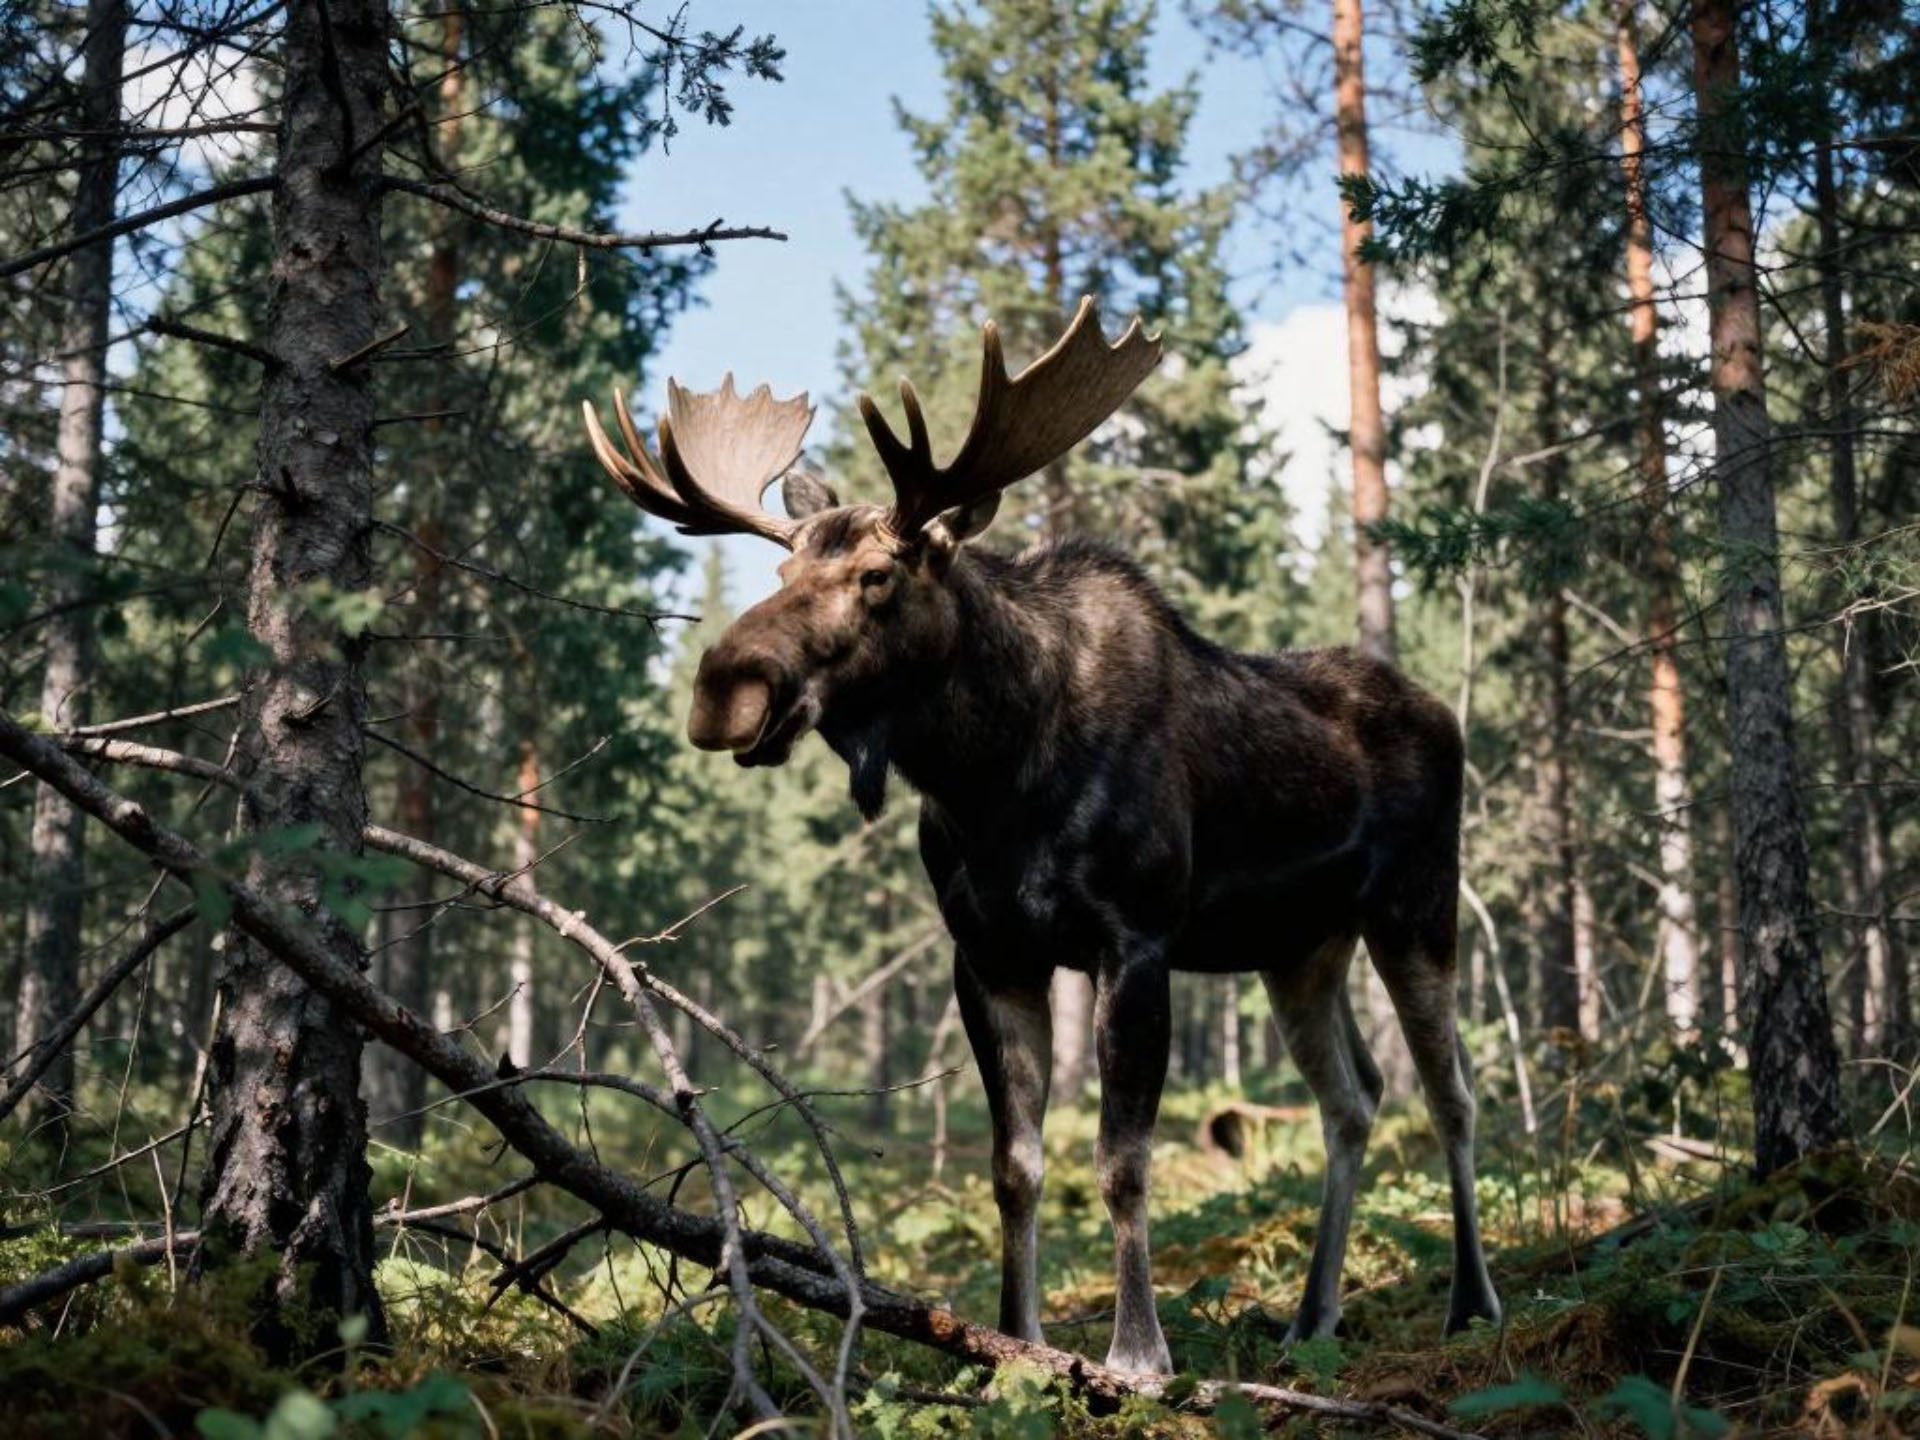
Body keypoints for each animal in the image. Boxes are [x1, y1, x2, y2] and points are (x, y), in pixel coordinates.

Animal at [580, 299, 1502, 1375]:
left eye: (879, 575)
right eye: (782, 565)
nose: (724, 687)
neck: (992, 779)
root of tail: (1447, 718)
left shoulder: (1133, 941)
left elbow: (1120, 1162)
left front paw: (1138, 1356)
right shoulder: (991, 955)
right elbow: (1013, 1167)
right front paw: (1012, 1348)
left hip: (1415, 907)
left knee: (1451, 1095)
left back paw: (1472, 1302)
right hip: (1300, 949)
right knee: (1352, 1101)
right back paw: (1312, 1317)